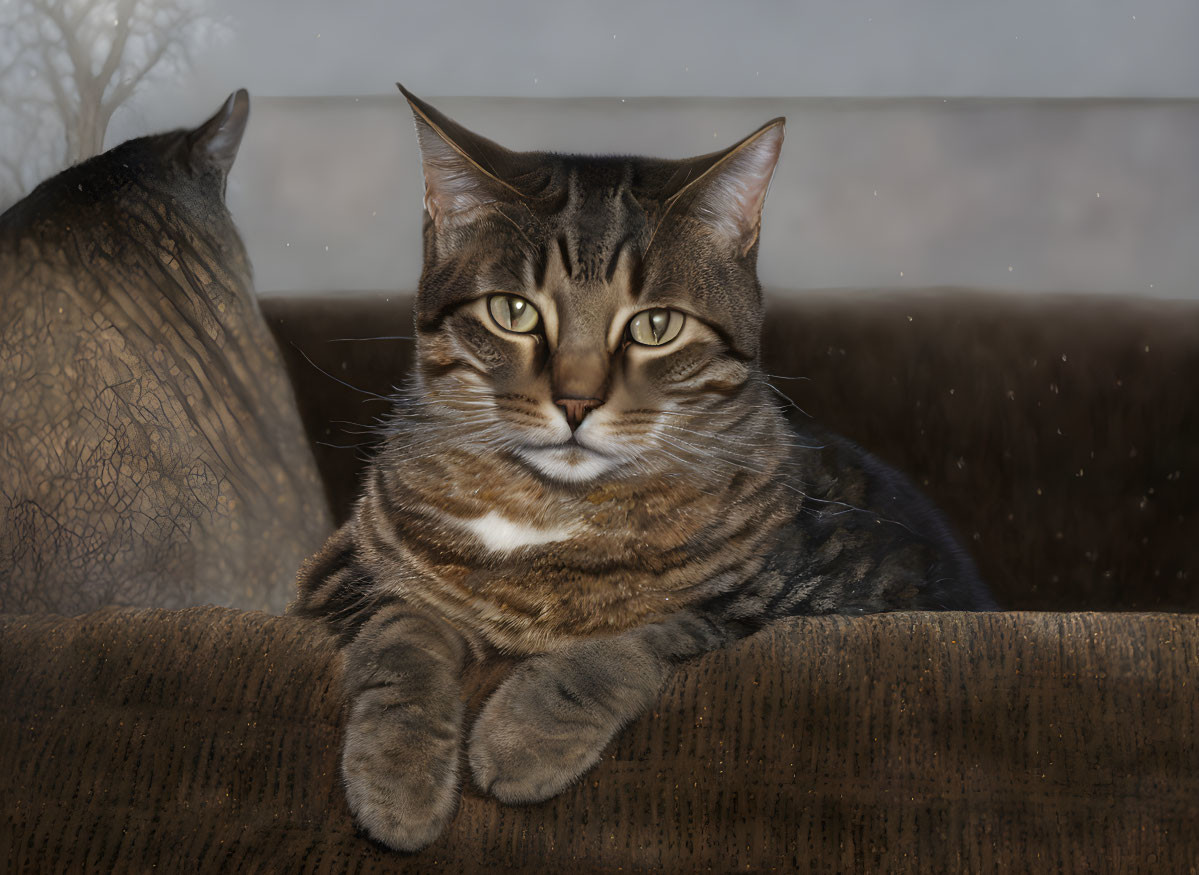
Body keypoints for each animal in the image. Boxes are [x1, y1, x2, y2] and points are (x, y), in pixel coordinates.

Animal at [292, 85, 992, 848]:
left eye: (656, 325)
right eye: (513, 311)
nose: (575, 400)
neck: (552, 514)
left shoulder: (827, 595)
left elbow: (654, 629)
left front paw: (523, 735)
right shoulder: (345, 573)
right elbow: (402, 635)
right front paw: (400, 780)